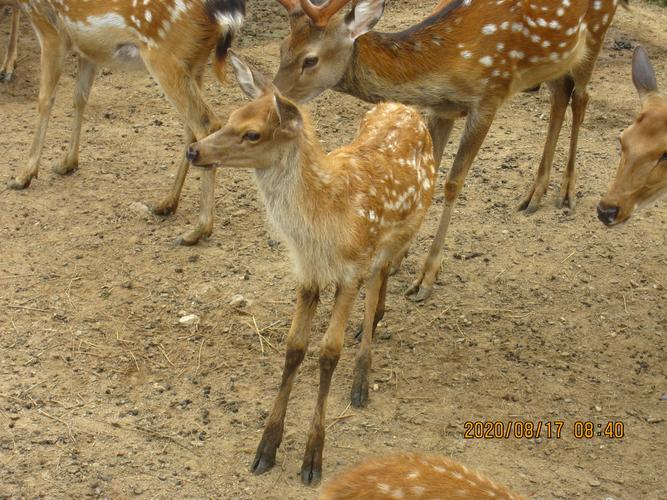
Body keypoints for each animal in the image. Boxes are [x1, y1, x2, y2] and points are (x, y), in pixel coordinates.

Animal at [6, 0, 247, 246]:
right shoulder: (87, 47)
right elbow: (80, 98)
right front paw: (67, 163)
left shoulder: (49, 28)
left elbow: (45, 99)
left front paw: (23, 176)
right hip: (194, 62)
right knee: (193, 130)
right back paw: (166, 203)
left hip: (166, 55)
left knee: (206, 124)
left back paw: (197, 230)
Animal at [188, 54, 438, 484]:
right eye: (232, 115)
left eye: (252, 133)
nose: (193, 150)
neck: (323, 224)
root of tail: (402, 107)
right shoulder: (306, 274)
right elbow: (293, 348)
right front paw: (266, 447)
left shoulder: (351, 270)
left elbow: (328, 353)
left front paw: (312, 459)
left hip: (401, 231)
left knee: (379, 281)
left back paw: (362, 377)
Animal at [272, 0, 632, 298]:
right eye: (282, 47)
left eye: (310, 59)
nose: (272, 100)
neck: (445, 67)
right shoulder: (441, 108)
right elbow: (428, 175)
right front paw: (399, 259)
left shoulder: (489, 97)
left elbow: (452, 183)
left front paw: (426, 276)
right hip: (556, 58)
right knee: (559, 95)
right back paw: (536, 193)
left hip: (595, 35)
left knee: (581, 98)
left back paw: (567, 190)